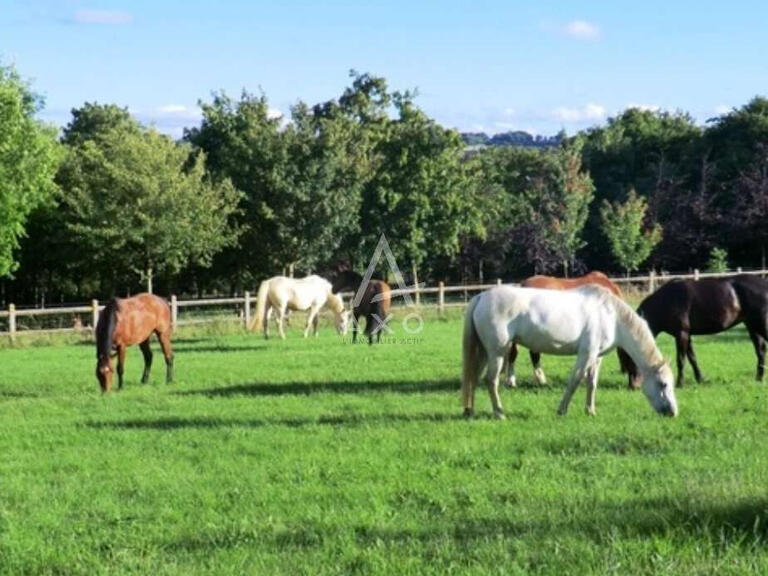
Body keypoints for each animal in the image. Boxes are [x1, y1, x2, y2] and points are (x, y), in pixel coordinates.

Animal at [462, 284, 680, 418]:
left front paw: (590, 411)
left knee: (473, 377)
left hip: (485, 352)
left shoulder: (596, 357)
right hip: (497, 352)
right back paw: (499, 413)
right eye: (663, 384)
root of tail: (481, 296)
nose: (673, 412)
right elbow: (575, 381)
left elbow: (592, 383)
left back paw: (469, 411)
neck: (610, 316)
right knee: (491, 380)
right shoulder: (586, 354)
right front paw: (562, 410)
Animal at [632, 276, 768, 388]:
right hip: (752, 326)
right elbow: (692, 358)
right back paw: (759, 379)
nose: (633, 386)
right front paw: (700, 380)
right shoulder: (687, 335)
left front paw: (679, 384)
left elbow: (681, 360)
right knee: (760, 351)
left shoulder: (681, 334)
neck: (666, 301)